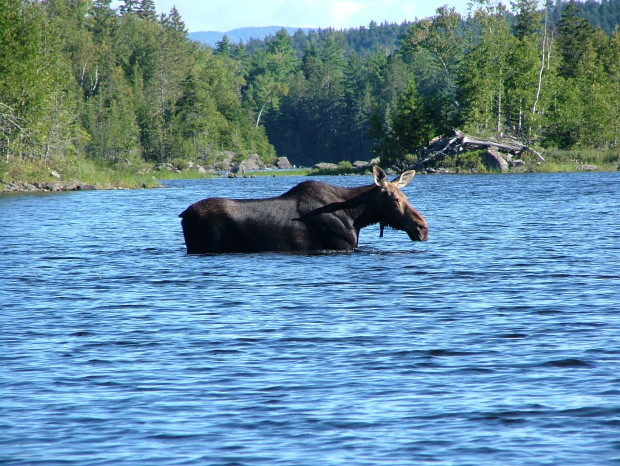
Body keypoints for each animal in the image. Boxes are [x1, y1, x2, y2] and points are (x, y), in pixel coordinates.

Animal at [179, 166, 428, 253]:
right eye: (394, 199)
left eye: (405, 196)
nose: (422, 227)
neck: (356, 217)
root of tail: (183, 215)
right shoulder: (342, 245)